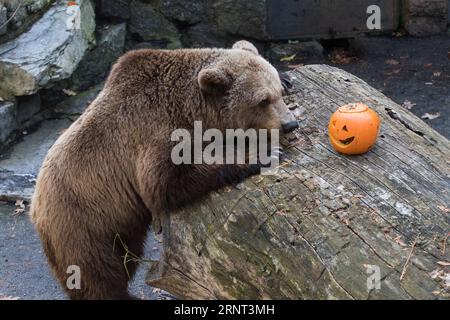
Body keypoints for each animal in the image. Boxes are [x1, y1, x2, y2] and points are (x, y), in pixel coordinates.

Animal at [29, 40, 298, 300]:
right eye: (263, 100)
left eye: (277, 92)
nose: (290, 124)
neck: (188, 110)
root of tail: (35, 207)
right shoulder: (150, 131)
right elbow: (166, 182)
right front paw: (260, 153)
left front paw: (287, 76)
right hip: (83, 220)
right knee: (96, 272)